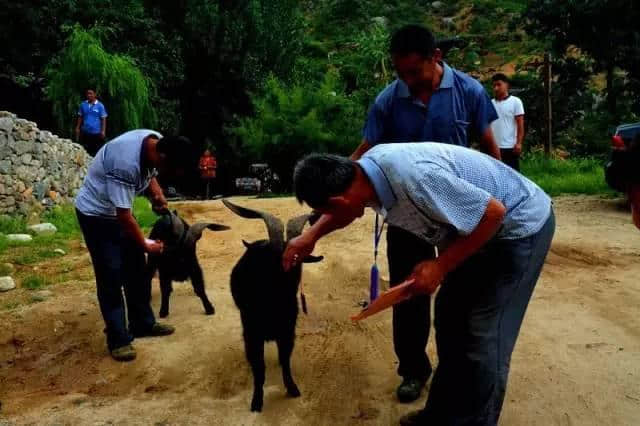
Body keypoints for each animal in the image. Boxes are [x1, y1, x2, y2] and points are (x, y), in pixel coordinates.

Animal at [225, 200, 324, 412]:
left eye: (297, 259)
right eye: (273, 258)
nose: (284, 277)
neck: (272, 302)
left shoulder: (287, 332)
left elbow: (285, 361)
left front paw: (292, 388)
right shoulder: (253, 333)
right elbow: (259, 368)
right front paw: (257, 400)